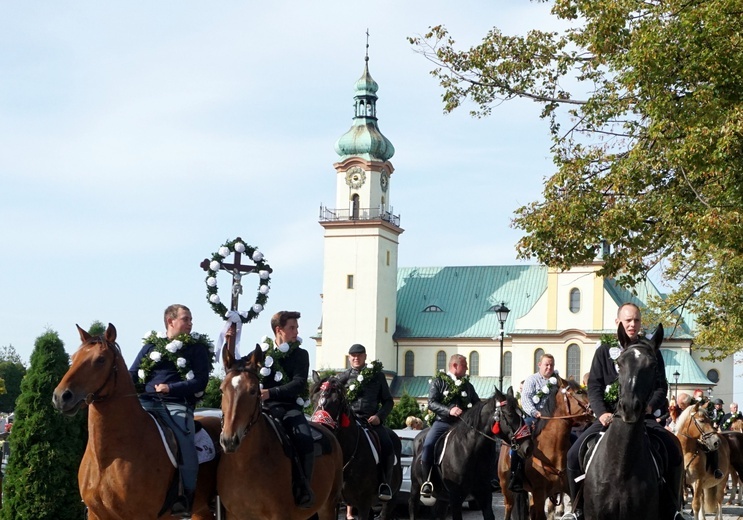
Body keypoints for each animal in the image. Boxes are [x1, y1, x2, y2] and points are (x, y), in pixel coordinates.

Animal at [215, 344, 342, 516]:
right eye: (222, 390)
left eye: (253, 390)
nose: (229, 440)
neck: (244, 465)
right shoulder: (234, 515)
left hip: (328, 506)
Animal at [406, 386, 536, 520]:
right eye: (510, 414)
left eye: (522, 414)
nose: (528, 447)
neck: (470, 451)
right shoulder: (456, 497)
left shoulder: (484, 493)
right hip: (416, 487)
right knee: (413, 506)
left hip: (442, 497)